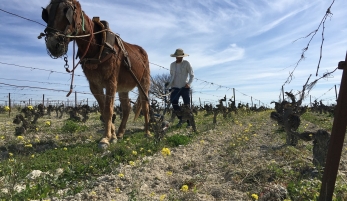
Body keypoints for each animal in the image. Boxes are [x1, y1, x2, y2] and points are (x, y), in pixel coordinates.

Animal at [39, 0, 151, 148]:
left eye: (66, 11)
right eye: (46, 13)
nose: (53, 44)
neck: (97, 46)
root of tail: (142, 51)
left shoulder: (111, 82)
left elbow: (109, 110)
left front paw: (105, 138)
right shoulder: (94, 85)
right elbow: (103, 110)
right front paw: (112, 136)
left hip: (143, 82)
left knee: (145, 105)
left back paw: (147, 132)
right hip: (123, 88)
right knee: (126, 108)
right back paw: (121, 133)